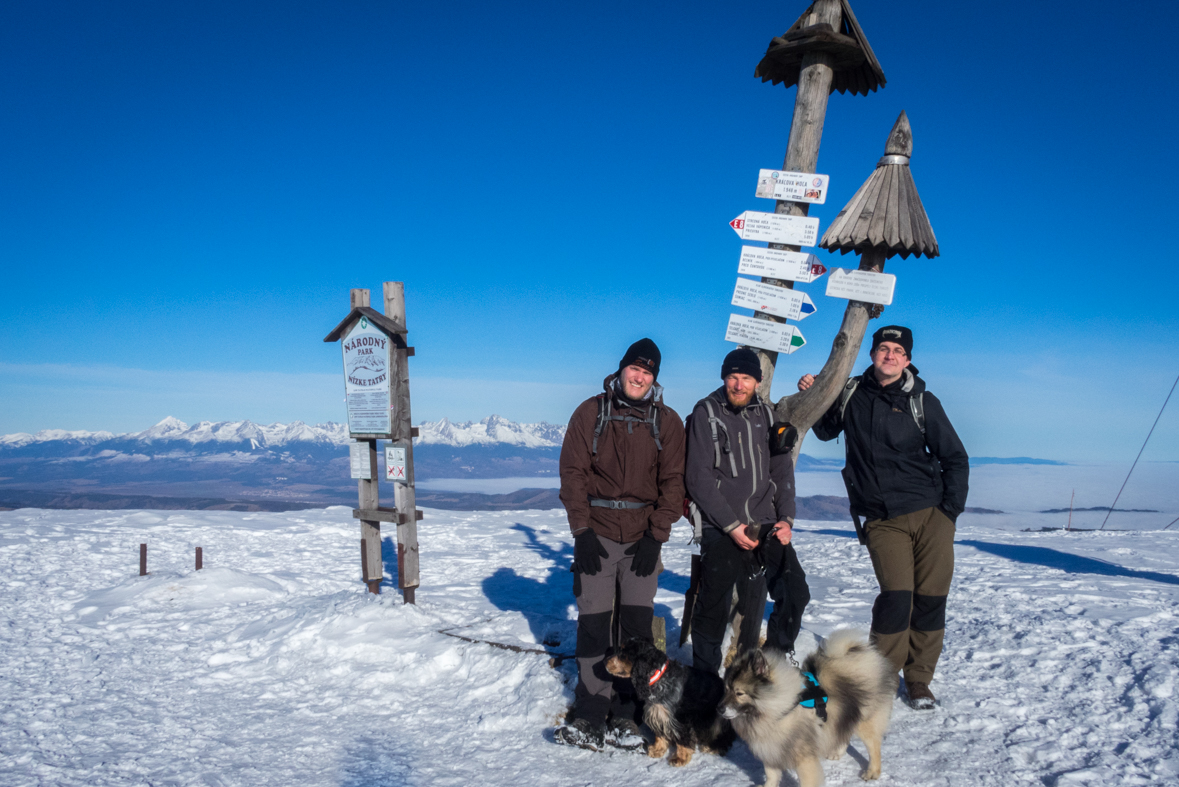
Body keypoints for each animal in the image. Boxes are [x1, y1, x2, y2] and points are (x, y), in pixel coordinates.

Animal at [716, 631, 891, 787]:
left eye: (739, 693)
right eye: (726, 689)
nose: (719, 709)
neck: (779, 709)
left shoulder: (804, 759)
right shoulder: (771, 750)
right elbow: (771, 775)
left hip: (864, 721)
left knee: (874, 747)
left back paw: (872, 772)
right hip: (844, 715)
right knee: (844, 733)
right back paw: (837, 753)